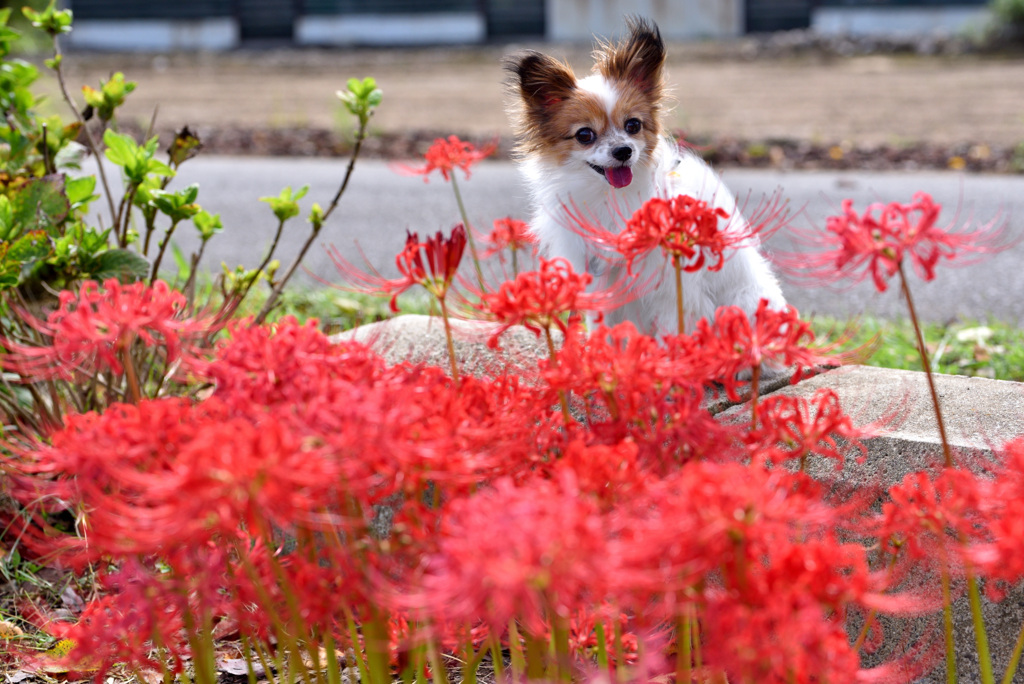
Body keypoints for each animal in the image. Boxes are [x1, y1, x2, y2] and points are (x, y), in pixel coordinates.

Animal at [503, 15, 782, 335]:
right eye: (585, 135)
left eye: (633, 125)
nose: (623, 151)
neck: (610, 198)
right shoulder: (599, 279)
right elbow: (602, 327)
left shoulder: (672, 289)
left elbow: (672, 331)